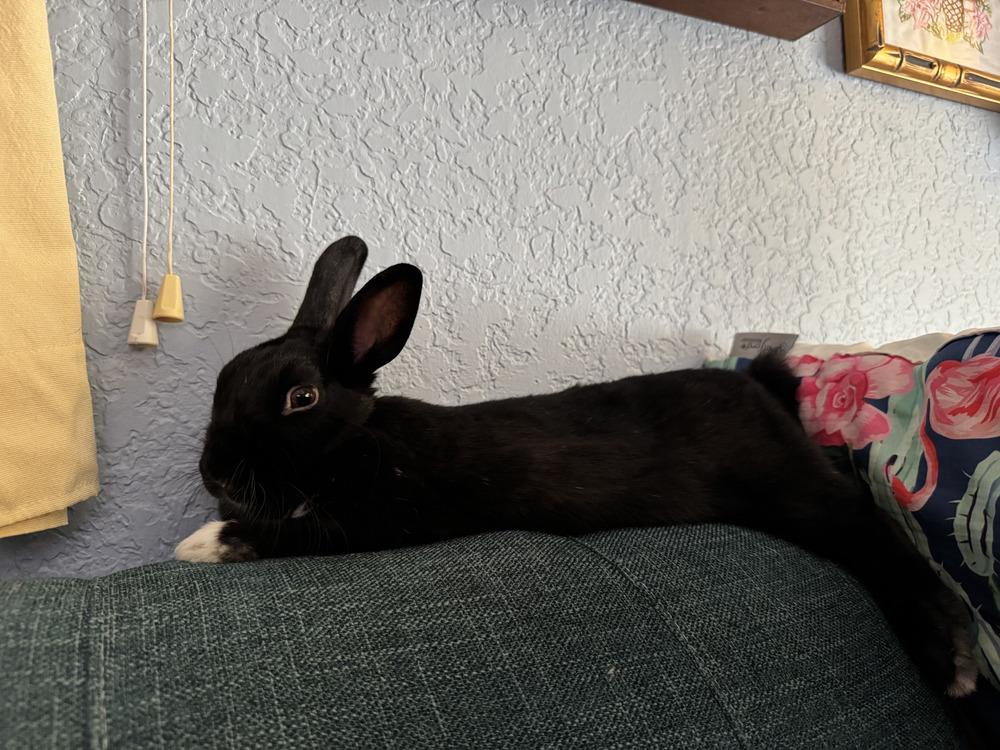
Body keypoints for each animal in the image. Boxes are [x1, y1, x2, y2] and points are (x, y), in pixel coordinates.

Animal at [176, 235, 977, 699]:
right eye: (221, 379)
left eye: (301, 398)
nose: (214, 473)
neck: (352, 443)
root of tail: (763, 389)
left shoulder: (370, 523)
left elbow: (289, 536)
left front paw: (203, 543)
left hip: (795, 492)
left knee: (875, 537)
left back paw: (952, 662)